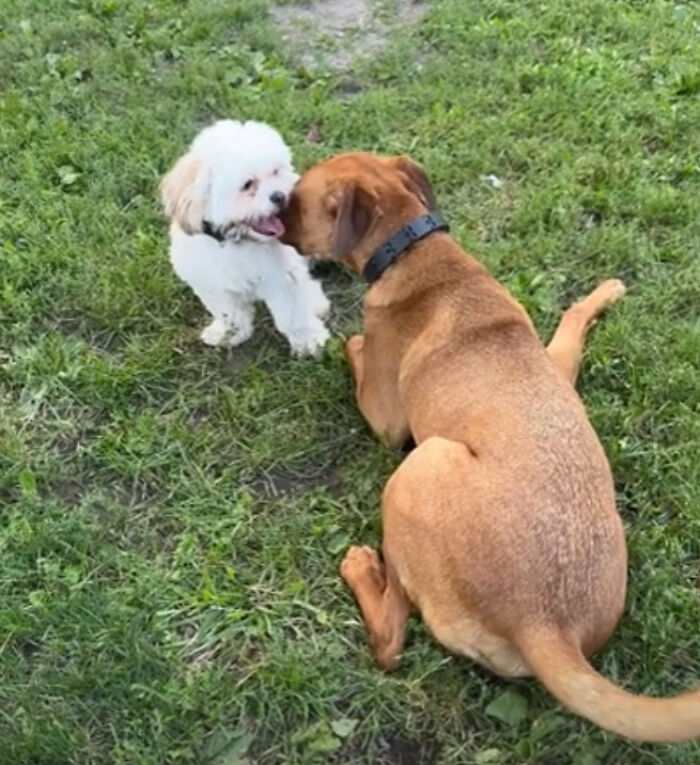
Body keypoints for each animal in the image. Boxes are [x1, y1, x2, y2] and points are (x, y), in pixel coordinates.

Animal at [160, 119, 330, 356]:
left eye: (276, 171)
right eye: (248, 184)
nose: (280, 195)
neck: (236, 242)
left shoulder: (283, 279)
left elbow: (294, 314)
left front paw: (308, 340)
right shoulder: (212, 283)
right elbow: (228, 313)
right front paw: (229, 334)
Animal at [280, 151, 700, 740]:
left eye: (296, 200)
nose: (273, 222)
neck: (416, 248)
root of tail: (544, 626)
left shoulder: (387, 421)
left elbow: (356, 345)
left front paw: (350, 338)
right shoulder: (558, 365)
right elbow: (571, 319)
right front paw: (604, 294)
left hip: (418, 466)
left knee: (390, 642)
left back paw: (362, 567)